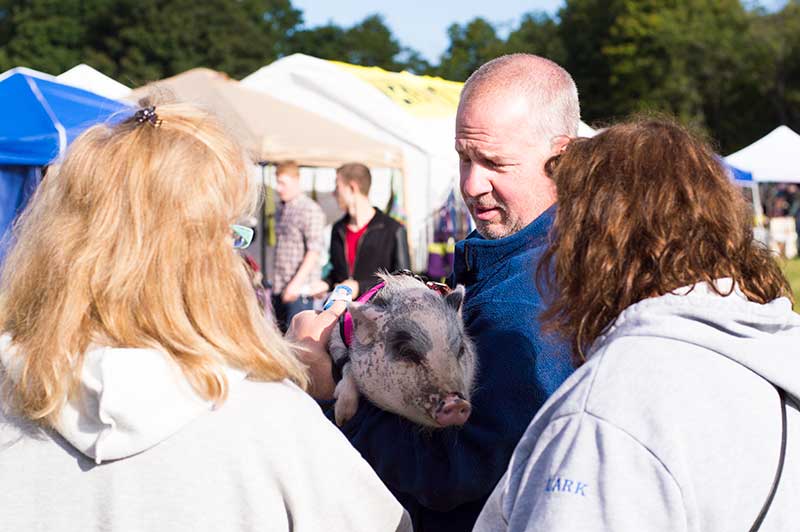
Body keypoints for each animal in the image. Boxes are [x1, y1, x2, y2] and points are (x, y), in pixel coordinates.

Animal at [330, 272, 478, 430]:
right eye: (406, 352)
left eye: (461, 349)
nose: (457, 403)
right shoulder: (335, 339)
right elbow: (347, 365)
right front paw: (341, 419)